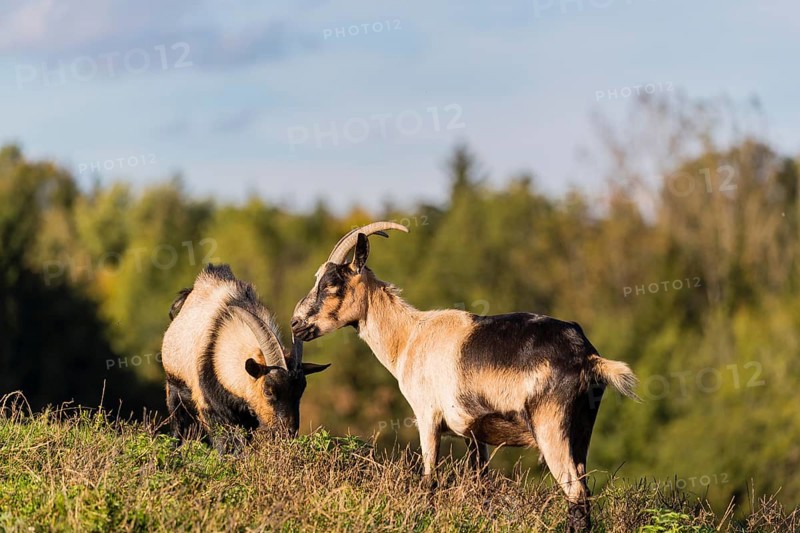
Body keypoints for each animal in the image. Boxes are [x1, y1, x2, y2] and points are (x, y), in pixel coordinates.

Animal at [162, 263, 329, 452]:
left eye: (301, 390)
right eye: (268, 390)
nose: (287, 433)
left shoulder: (248, 417)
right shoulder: (211, 408)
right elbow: (225, 445)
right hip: (174, 389)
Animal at [291, 222, 639, 532]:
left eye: (331, 284)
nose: (295, 324)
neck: (409, 337)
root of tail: (588, 356)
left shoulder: (427, 416)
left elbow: (430, 479)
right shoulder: (474, 433)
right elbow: (481, 486)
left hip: (550, 425)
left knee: (574, 491)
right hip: (580, 428)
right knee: (583, 487)